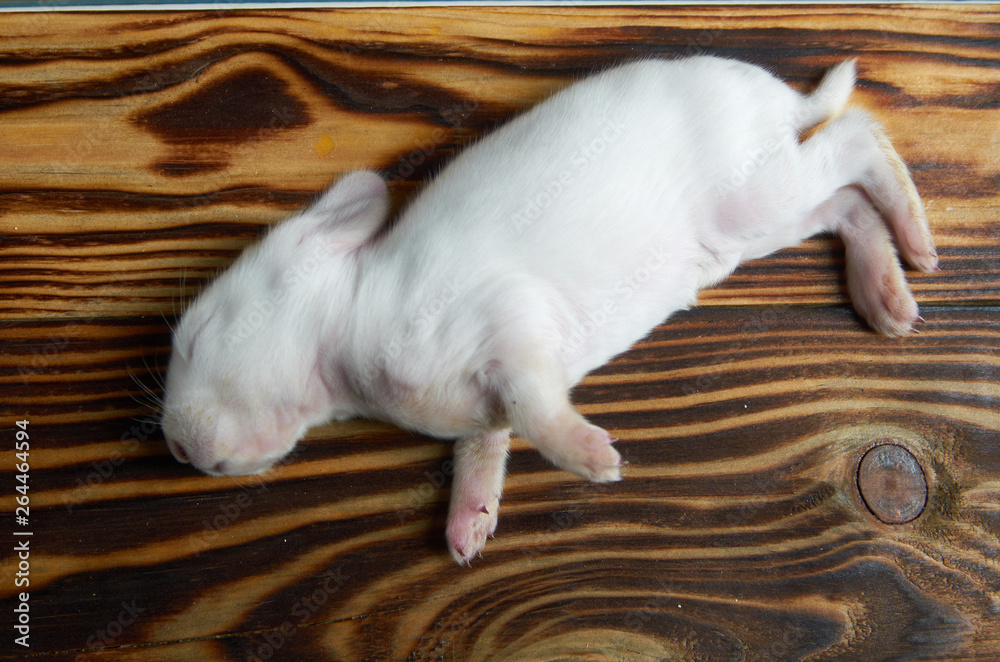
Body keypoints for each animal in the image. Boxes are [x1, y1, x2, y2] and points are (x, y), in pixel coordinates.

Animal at [161, 56, 938, 565]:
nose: (173, 449)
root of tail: (780, 98)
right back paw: (887, 297)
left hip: (759, 191)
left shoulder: (511, 328)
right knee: (845, 203)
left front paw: (595, 461)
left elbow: (536, 409)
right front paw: (467, 534)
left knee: (858, 137)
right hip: (759, 225)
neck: (349, 333)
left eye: (197, 337)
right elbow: (487, 445)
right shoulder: (485, 405)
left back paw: (920, 246)